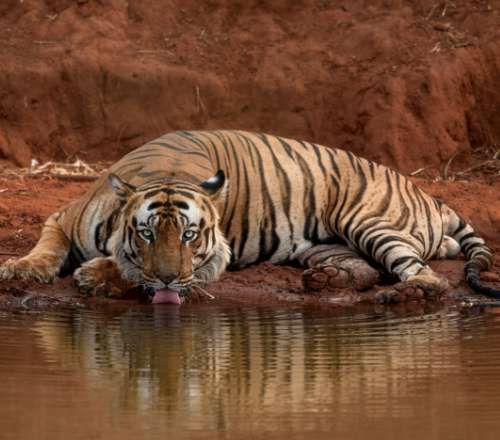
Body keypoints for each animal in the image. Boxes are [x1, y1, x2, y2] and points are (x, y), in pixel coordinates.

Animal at [0, 129, 500, 304]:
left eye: (190, 237)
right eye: (146, 234)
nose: (168, 279)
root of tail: (428, 194)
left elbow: (138, 273)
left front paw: (96, 276)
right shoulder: (61, 217)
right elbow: (46, 247)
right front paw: (21, 269)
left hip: (369, 221)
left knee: (425, 276)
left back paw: (406, 294)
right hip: (327, 247)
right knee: (366, 269)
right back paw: (327, 282)